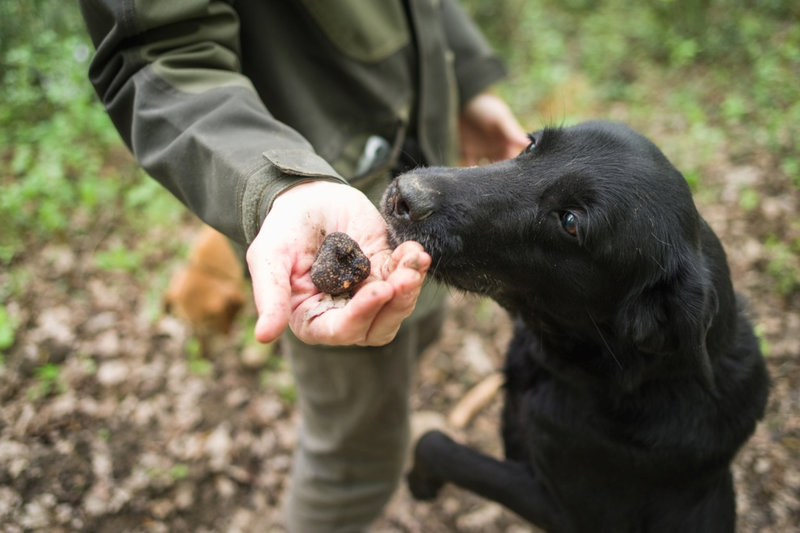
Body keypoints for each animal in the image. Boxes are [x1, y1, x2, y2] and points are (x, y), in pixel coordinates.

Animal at [382, 121, 768, 532]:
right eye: (530, 145)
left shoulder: (565, 513)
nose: (404, 196)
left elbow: (436, 445)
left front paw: (421, 481)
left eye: (570, 222)